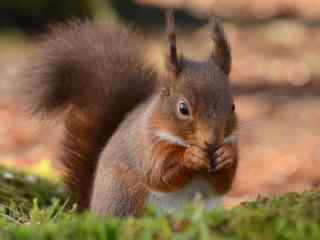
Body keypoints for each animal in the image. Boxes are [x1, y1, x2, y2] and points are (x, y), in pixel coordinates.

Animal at [17, 9, 238, 218]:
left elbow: (224, 184)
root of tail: (93, 211)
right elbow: (159, 175)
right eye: (183, 108)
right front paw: (191, 156)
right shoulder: (147, 146)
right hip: (125, 196)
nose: (212, 141)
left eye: (233, 107)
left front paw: (226, 155)